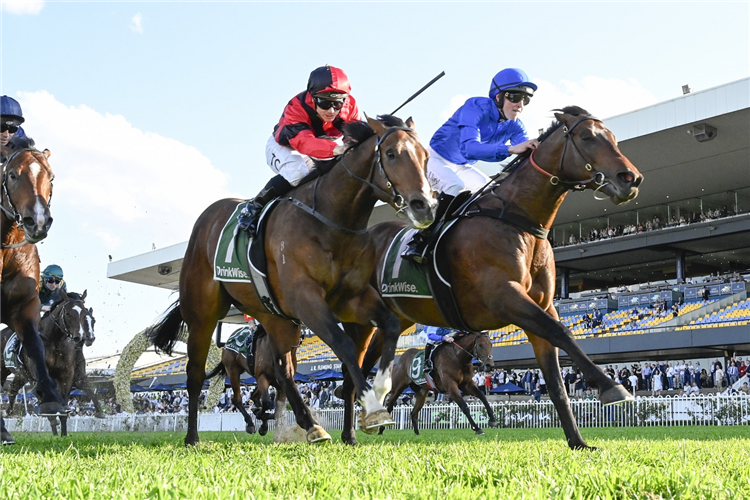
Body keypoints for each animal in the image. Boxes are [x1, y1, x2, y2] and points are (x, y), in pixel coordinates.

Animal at [0, 290, 97, 438]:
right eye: (68, 314)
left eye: (86, 313)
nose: (80, 337)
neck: (54, 341)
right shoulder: (41, 376)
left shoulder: (67, 376)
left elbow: (64, 400)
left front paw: (63, 434)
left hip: (22, 374)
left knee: (13, 388)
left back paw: (10, 411)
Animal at [148, 116, 438, 446]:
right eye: (391, 154)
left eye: (425, 156)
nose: (424, 205)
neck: (331, 219)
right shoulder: (305, 298)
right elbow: (342, 344)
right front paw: (374, 407)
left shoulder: (351, 298)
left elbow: (387, 325)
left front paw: (377, 393)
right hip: (202, 313)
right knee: (196, 372)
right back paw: (193, 437)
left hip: (274, 316)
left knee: (283, 371)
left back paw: (310, 425)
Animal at [340, 107, 648, 452]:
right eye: (587, 137)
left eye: (613, 138)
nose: (630, 179)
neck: (517, 219)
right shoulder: (505, 298)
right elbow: (563, 333)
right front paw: (611, 387)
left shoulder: (541, 306)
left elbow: (556, 380)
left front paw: (578, 441)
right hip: (360, 320)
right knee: (351, 368)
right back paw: (352, 432)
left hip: (394, 320)